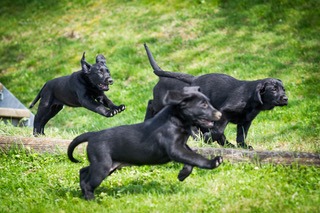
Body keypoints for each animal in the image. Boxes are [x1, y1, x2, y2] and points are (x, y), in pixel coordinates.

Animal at [67, 86, 222, 200]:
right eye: (203, 105)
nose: (220, 114)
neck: (175, 120)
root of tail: (92, 135)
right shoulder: (174, 149)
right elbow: (195, 158)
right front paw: (213, 162)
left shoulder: (182, 146)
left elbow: (191, 157)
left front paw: (182, 175)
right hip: (102, 166)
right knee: (88, 183)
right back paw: (91, 199)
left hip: (107, 165)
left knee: (83, 171)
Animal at [144, 43, 288, 150]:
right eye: (273, 89)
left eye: (283, 89)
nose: (285, 98)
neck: (251, 99)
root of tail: (194, 78)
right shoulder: (224, 112)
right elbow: (218, 131)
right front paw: (207, 138)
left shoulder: (246, 121)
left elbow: (241, 135)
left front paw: (243, 146)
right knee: (152, 104)